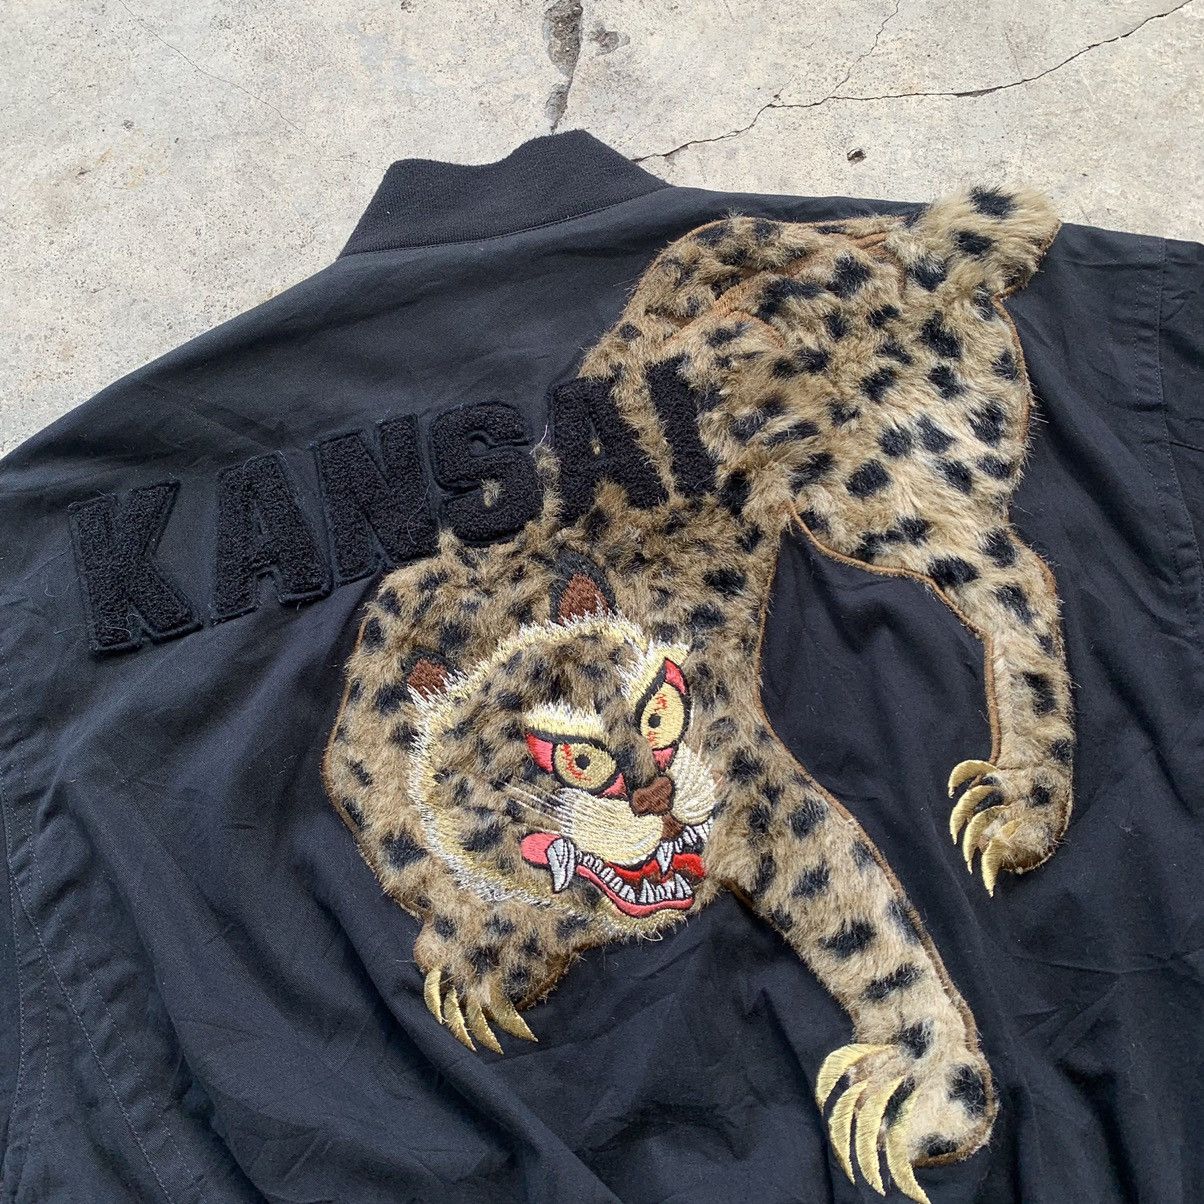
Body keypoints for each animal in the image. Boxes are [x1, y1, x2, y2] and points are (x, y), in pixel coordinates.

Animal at [323, 187, 1072, 1203]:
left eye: (659, 706)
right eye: (571, 755)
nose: (658, 794)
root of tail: (919, 253)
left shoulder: (758, 790)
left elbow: (860, 913)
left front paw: (920, 1087)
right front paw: (483, 949)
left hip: (883, 484)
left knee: (1020, 581)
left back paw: (1021, 802)